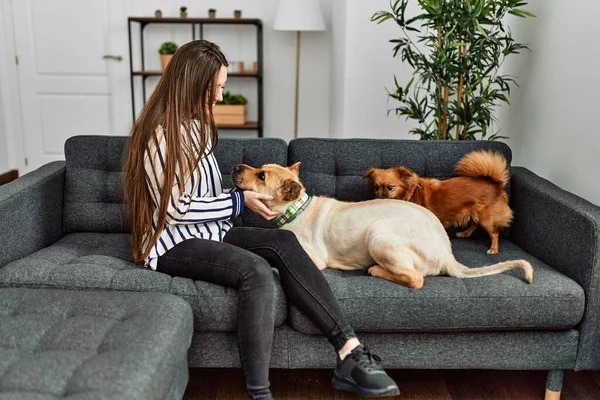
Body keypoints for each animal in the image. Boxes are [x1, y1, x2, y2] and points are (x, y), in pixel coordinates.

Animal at [364, 150, 512, 253]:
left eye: (390, 187)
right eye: (376, 187)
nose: (378, 199)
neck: (410, 194)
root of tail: (496, 185)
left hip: (486, 218)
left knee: (494, 233)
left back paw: (493, 249)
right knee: (475, 223)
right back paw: (464, 233)